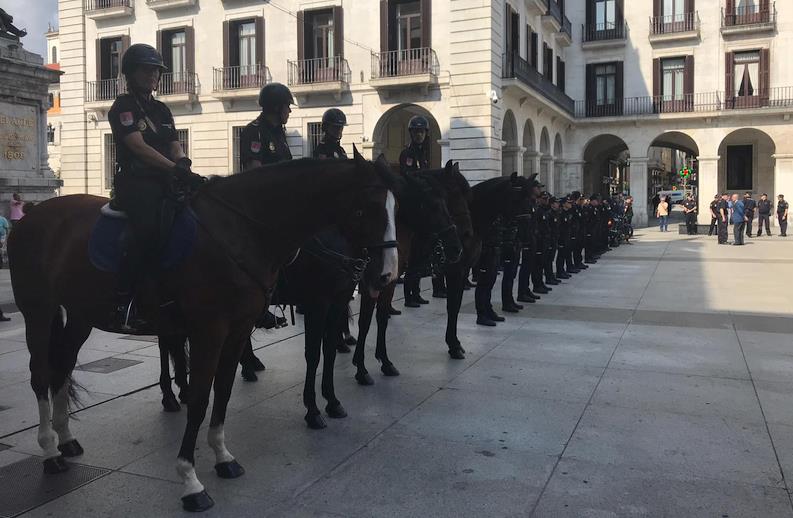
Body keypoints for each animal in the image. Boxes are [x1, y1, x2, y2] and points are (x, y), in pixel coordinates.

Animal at [9, 151, 400, 516]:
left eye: (396, 207)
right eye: (365, 209)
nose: (386, 275)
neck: (242, 231)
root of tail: (31, 216)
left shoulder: (239, 329)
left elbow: (223, 391)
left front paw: (223, 456)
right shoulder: (212, 330)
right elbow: (199, 398)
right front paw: (190, 480)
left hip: (81, 314)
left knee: (62, 367)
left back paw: (66, 438)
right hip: (38, 310)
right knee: (40, 373)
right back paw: (49, 450)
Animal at [350, 162, 474, 386]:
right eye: (453, 194)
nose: (460, 244)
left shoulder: (389, 280)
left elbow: (381, 318)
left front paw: (384, 361)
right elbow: (365, 321)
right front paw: (361, 368)